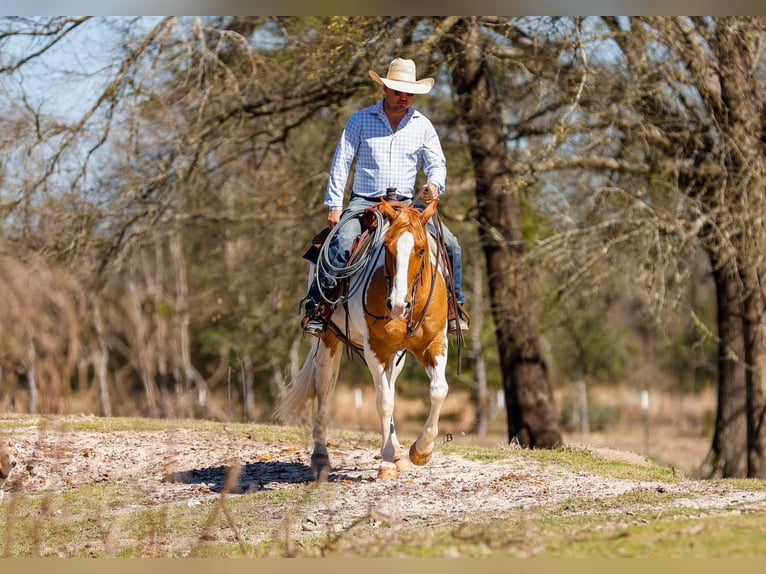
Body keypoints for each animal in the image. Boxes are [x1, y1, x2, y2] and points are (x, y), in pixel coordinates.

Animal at [276, 200, 450, 484]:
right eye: (388, 247)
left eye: (421, 249)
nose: (398, 305)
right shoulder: (375, 348)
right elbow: (384, 402)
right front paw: (388, 462)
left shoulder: (434, 343)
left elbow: (438, 391)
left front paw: (420, 451)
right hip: (328, 341)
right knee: (324, 389)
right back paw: (321, 457)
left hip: (395, 355)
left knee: (390, 386)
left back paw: (399, 454)